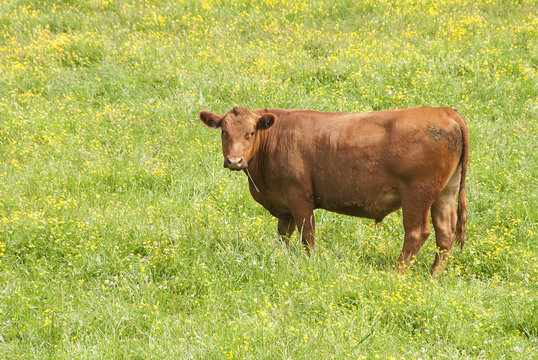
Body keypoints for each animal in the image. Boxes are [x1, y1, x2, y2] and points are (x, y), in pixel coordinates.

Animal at [199, 105, 466, 274]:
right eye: (223, 131)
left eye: (251, 132)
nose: (234, 161)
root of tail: (444, 111)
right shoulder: (284, 204)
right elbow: (284, 235)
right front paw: (283, 258)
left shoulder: (299, 196)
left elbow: (307, 234)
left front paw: (310, 263)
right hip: (446, 192)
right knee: (445, 233)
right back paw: (433, 275)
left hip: (417, 194)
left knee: (417, 233)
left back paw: (396, 273)